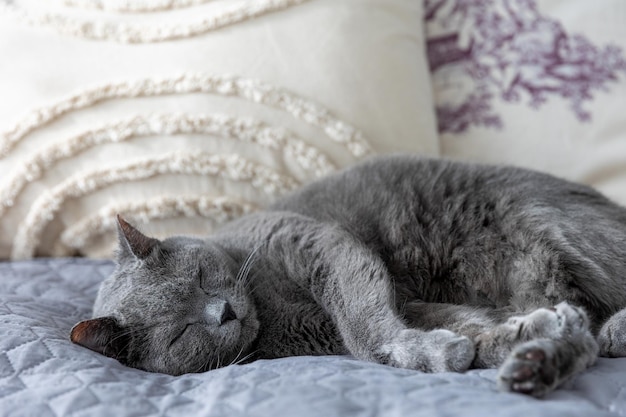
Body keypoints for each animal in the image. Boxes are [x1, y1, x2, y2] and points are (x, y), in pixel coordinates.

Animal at [69, 154, 626, 396]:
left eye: (204, 276)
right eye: (182, 332)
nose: (223, 310)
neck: (267, 309)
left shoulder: (318, 243)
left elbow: (361, 322)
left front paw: (421, 350)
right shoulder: (401, 306)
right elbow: (465, 326)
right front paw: (490, 341)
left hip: (544, 228)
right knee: (584, 334)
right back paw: (541, 358)